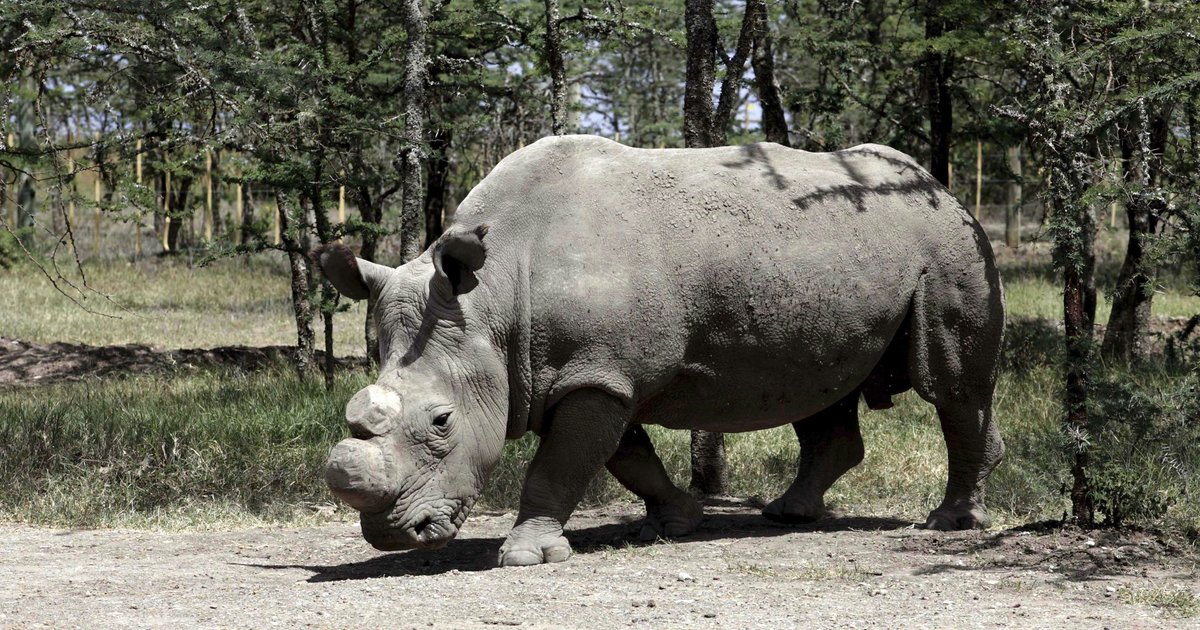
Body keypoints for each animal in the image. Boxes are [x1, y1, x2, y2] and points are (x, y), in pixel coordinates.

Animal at [316, 135, 1003, 566]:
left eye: (441, 422)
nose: (391, 536)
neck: (495, 301)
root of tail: (944, 188)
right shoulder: (601, 373)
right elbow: (627, 459)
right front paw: (677, 521)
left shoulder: (596, 374)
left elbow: (560, 466)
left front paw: (525, 555)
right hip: (841, 258)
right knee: (823, 388)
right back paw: (788, 515)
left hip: (950, 243)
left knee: (949, 386)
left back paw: (949, 522)